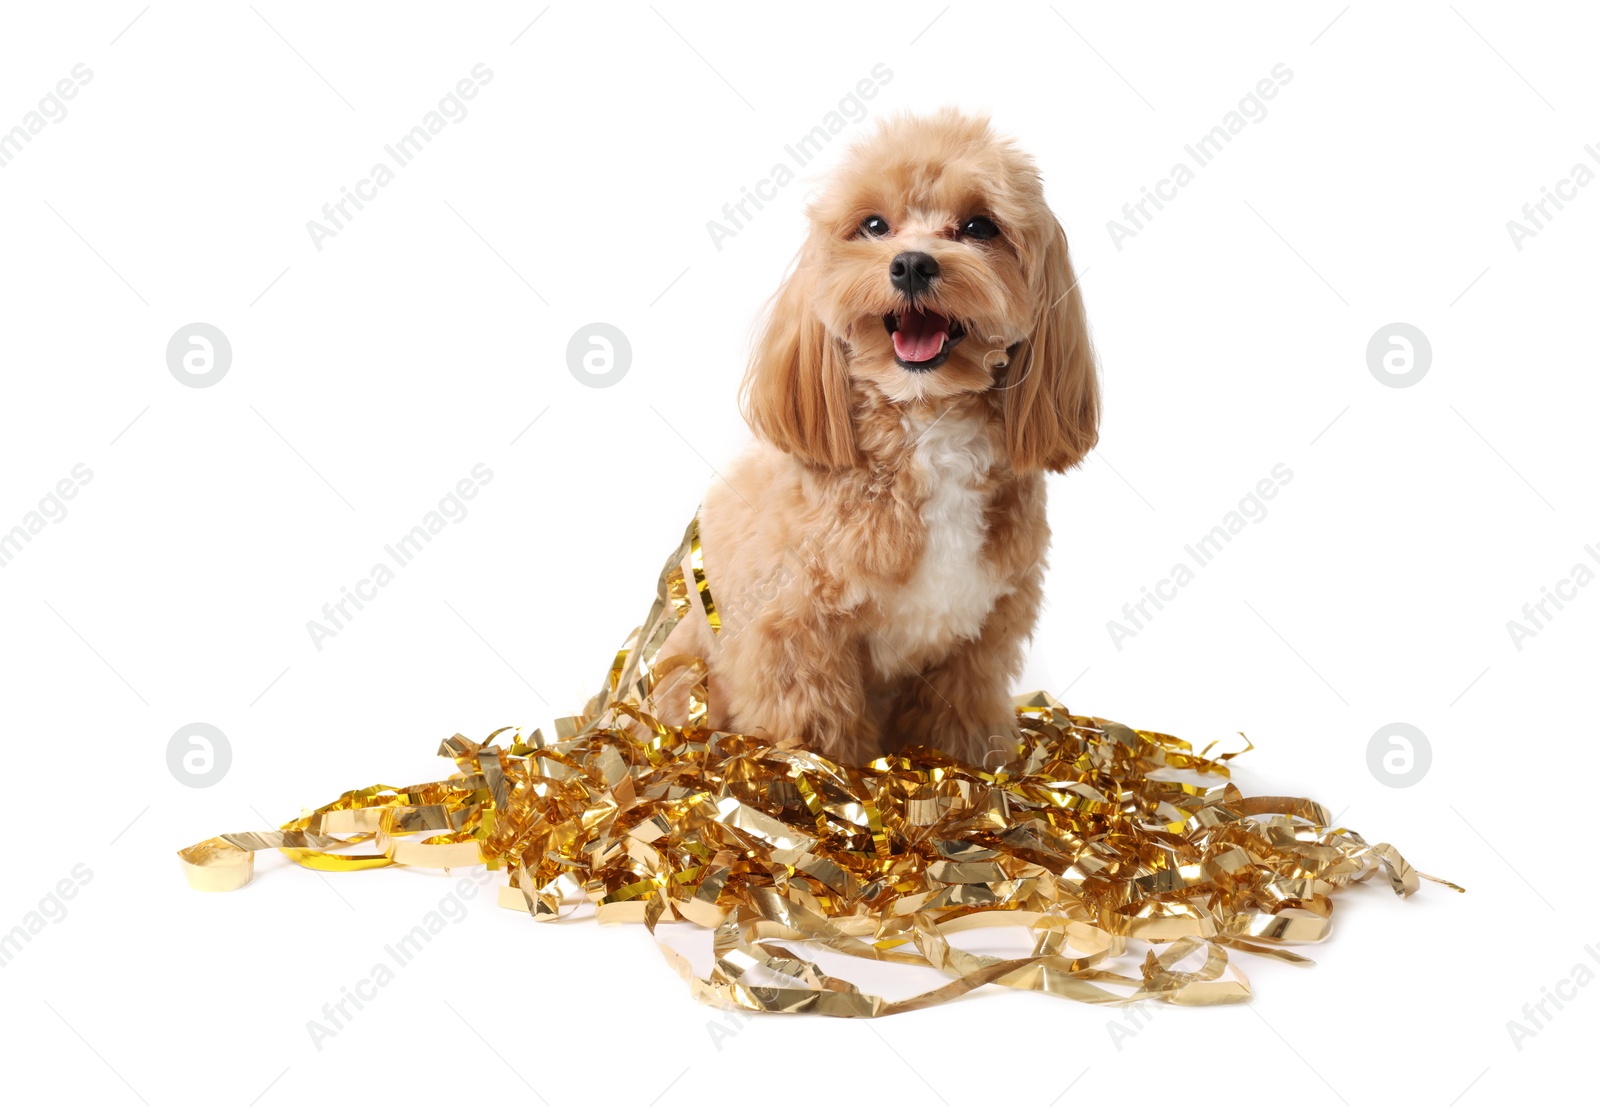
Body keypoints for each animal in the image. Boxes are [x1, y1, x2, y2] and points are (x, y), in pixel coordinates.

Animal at [652, 112, 1100, 770]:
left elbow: (959, 729)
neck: (927, 429)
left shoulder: (977, 644)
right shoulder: (797, 640)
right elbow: (816, 741)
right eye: (872, 226)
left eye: (979, 227)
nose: (912, 263)